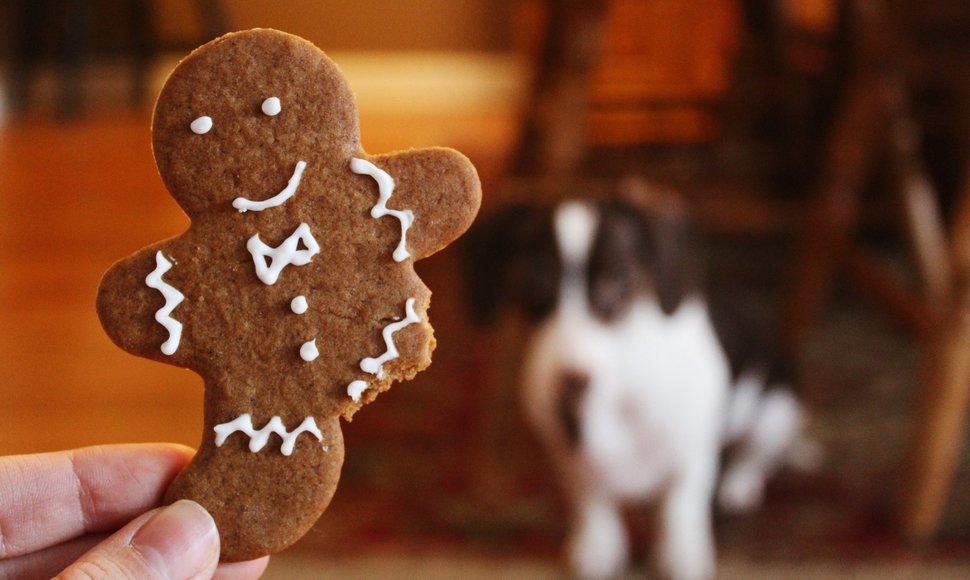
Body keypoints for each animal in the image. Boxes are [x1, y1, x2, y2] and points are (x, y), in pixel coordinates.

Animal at [466, 179, 804, 576]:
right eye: (536, 273)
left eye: (620, 275)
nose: (572, 381)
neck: (619, 394)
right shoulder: (570, 459)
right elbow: (592, 502)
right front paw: (599, 547)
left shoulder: (691, 457)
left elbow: (680, 508)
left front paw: (680, 556)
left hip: (775, 412)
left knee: (755, 456)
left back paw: (739, 486)